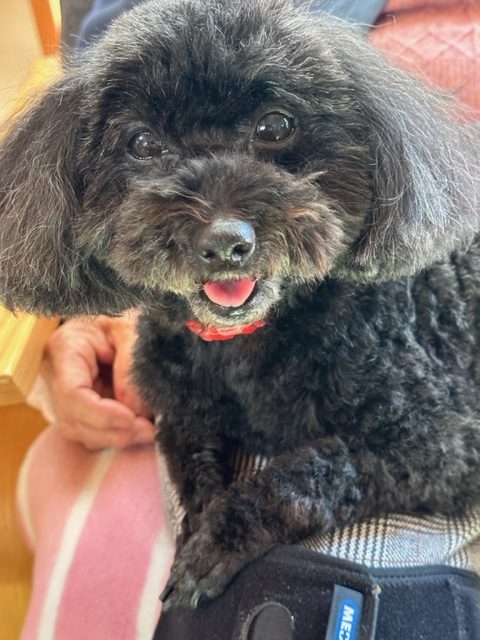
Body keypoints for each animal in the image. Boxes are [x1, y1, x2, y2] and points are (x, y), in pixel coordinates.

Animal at [1, 0, 480, 611]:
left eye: (275, 125)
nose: (225, 241)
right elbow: (192, 472)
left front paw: (220, 539)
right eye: (141, 143)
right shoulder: (181, 413)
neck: (241, 347)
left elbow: (305, 474)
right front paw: (199, 525)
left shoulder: (439, 445)